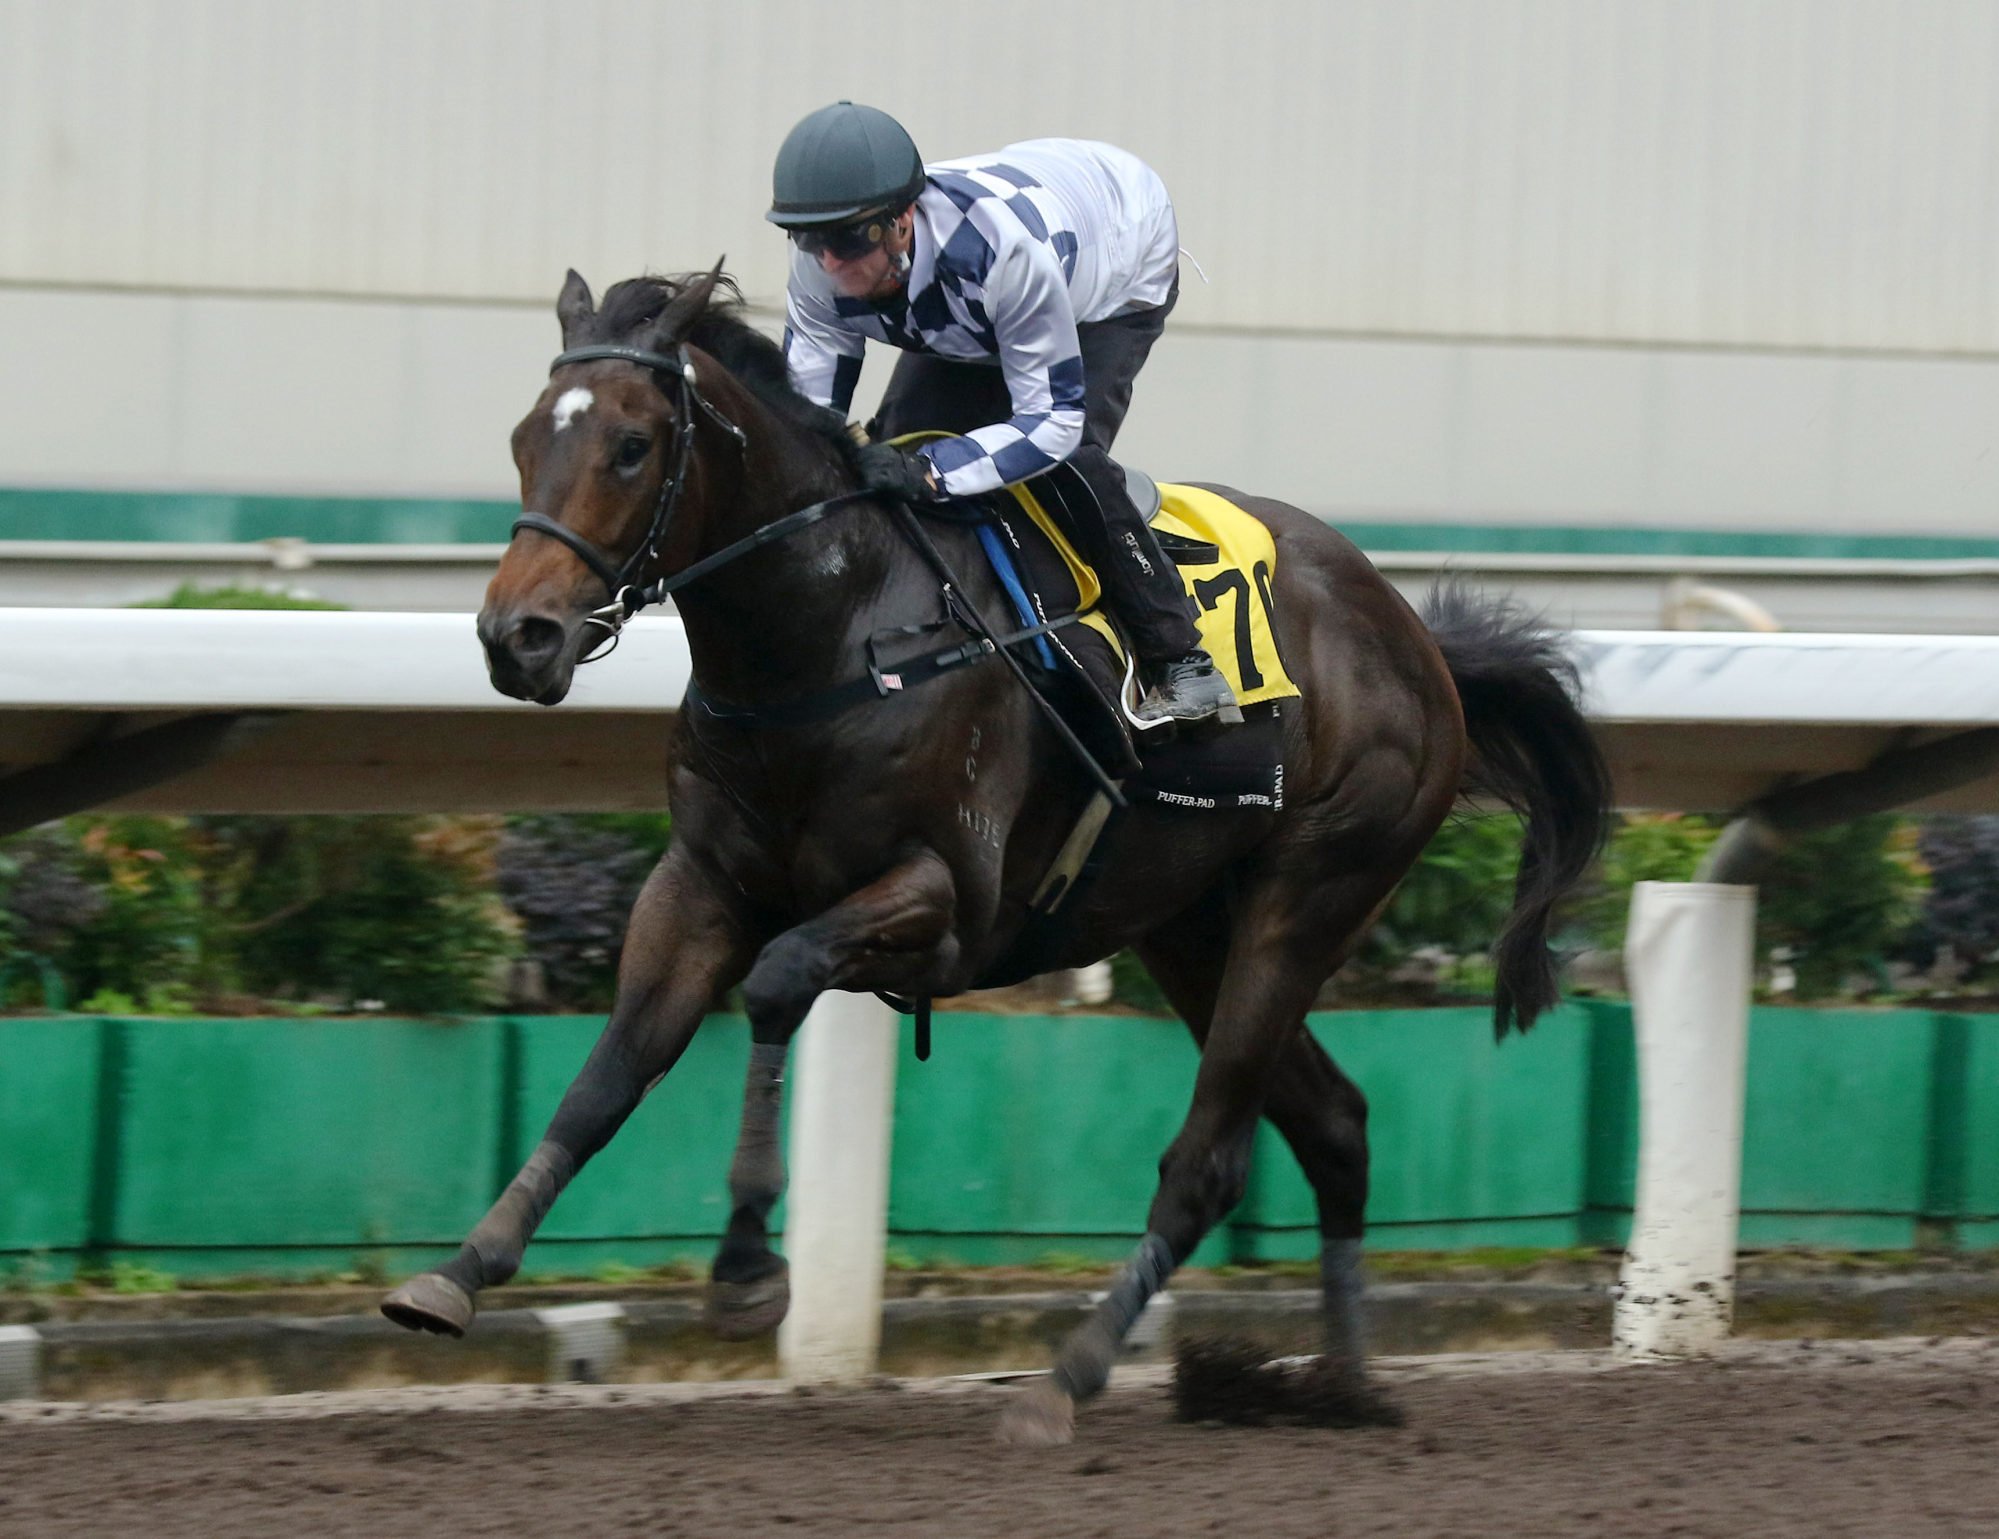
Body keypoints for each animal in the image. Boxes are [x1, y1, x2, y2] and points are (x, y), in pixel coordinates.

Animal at [381, 263, 1615, 1439]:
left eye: (632, 446)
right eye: (524, 439)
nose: (517, 638)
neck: (830, 631)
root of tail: (1420, 643)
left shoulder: (945, 904)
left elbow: (777, 981)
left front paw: (745, 1270)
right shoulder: (701, 885)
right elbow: (610, 1073)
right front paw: (458, 1272)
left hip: (1309, 895)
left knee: (1208, 1160)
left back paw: (1065, 1382)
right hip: (1187, 926)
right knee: (1333, 1124)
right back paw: (1346, 1385)